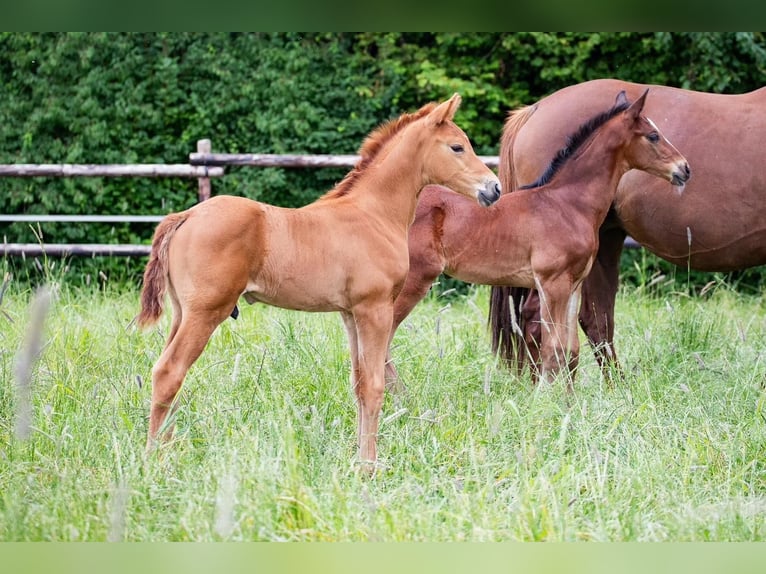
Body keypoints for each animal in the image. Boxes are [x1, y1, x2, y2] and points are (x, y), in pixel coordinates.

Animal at [138, 95, 504, 472]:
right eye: (457, 146)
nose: (494, 188)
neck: (373, 214)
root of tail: (186, 216)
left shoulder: (350, 314)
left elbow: (359, 384)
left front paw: (358, 458)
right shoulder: (374, 309)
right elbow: (374, 386)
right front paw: (369, 466)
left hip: (182, 313)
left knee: (169, 375)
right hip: (207, 312)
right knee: (169, 371)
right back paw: (155, 460)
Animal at [388, 89, 692, 388]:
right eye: (653, 136)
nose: (685, 168)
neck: (566, 203)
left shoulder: (573, 285)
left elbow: (570, 349)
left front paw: (567, 399)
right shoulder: (551, 283)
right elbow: (553, 349)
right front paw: (544, 398)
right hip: (413, 281)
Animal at [492, 79, 766, 380]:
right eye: (653, 136)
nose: (684, 168)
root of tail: (534, 110)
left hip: (603, 242)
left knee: (593, 321)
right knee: (538, 319)